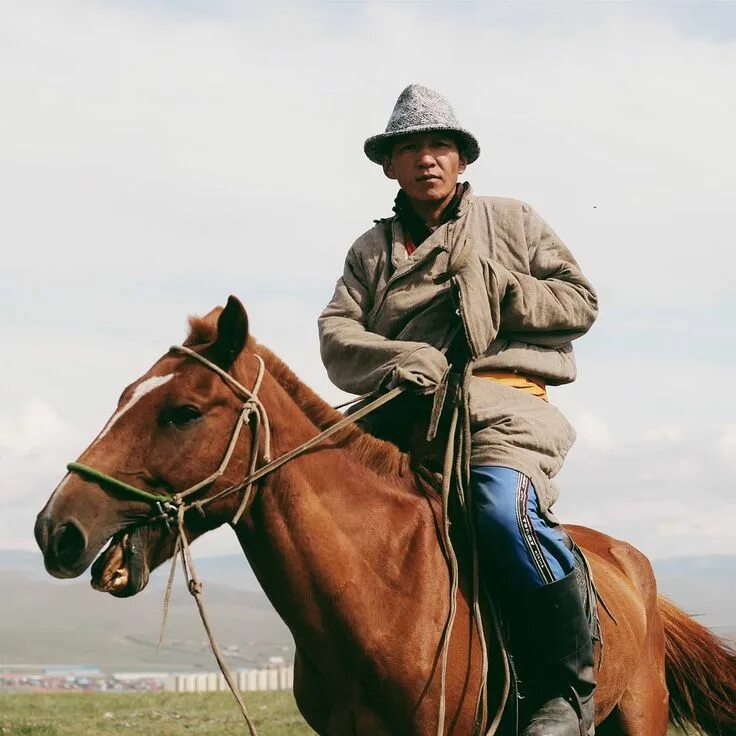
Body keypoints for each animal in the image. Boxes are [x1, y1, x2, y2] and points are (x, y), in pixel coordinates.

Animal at [34, 296, 736, 732]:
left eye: (182, 412)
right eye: (125, 396)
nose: (55, 530)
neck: (383, 586)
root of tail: (633, 566)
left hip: (638, 716)